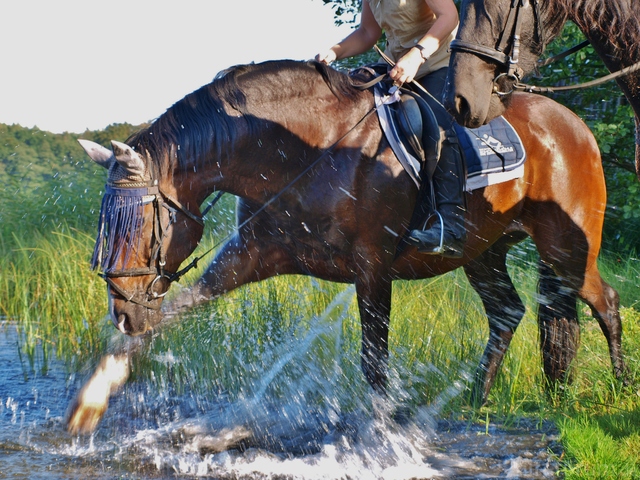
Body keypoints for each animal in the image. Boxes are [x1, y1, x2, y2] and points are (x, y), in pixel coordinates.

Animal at [67, 60, 624, 436]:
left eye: (140, 226)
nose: (122, 313)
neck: (303, 149)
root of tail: (571, 121)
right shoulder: (247, 256)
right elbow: (174, 313)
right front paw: (92, 400)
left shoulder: (372, 269)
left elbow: (374, 363)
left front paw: (381, 435)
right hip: (483, 252)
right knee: (508, 314)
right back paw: (473, 399)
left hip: (566, 250)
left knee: (606, 304)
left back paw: (620, 392)